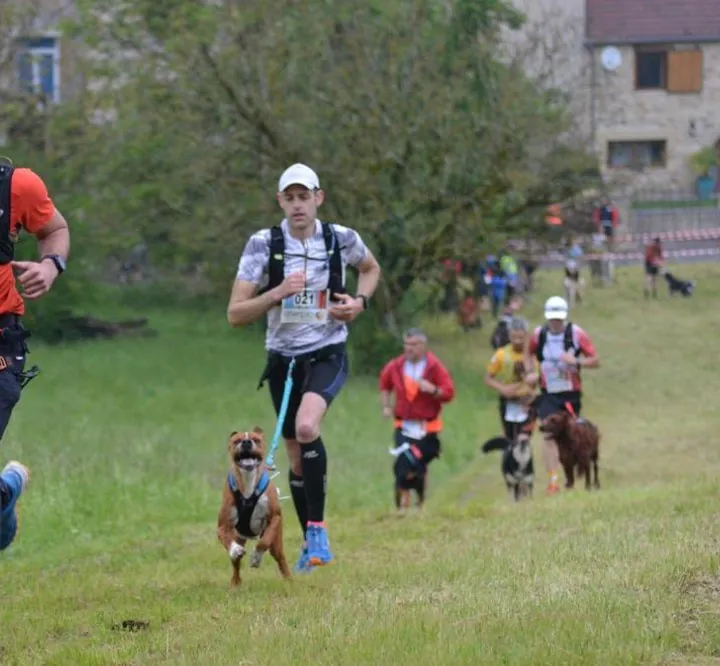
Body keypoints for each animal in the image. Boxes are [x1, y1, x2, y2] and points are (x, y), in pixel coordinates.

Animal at [215, 428, 292, 584]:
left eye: (256, 439)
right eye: (237, 441)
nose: (246, 442)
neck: (248, 481)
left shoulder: (275, 517)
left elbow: (264, 542)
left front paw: (256, 556)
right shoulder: (222, 526)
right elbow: (225, 539)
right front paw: (234, 549)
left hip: (276, 543)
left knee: (280, 558)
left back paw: (289, 580)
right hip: (238, 536)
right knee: (236, 565)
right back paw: (235, 584)